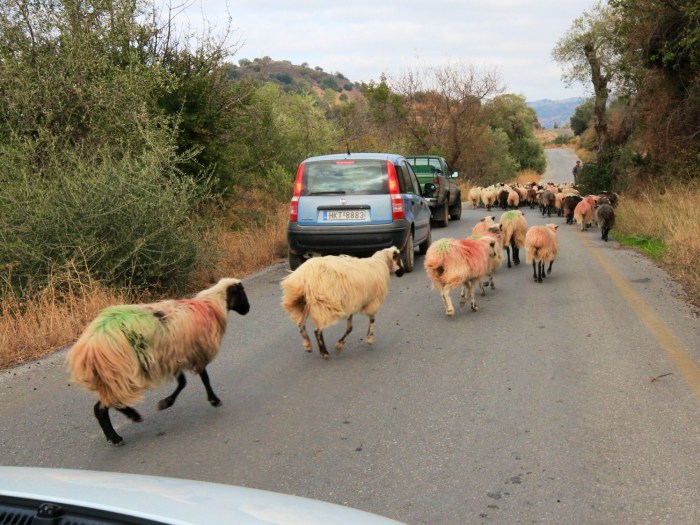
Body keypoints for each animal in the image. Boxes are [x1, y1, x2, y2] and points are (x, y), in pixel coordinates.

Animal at [66, 278, 250, 446]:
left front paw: (165, 402)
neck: (211, 306)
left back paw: (118, 432)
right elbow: (203, 379)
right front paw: (213, 400)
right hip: (122, 372)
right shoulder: (194, 353)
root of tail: (90, 346)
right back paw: (127, 424)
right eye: (241, 292)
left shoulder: (176, 356)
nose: (248, 309)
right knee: (106, 404)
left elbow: (183, 382)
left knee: (102, 406)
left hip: (110, 375)